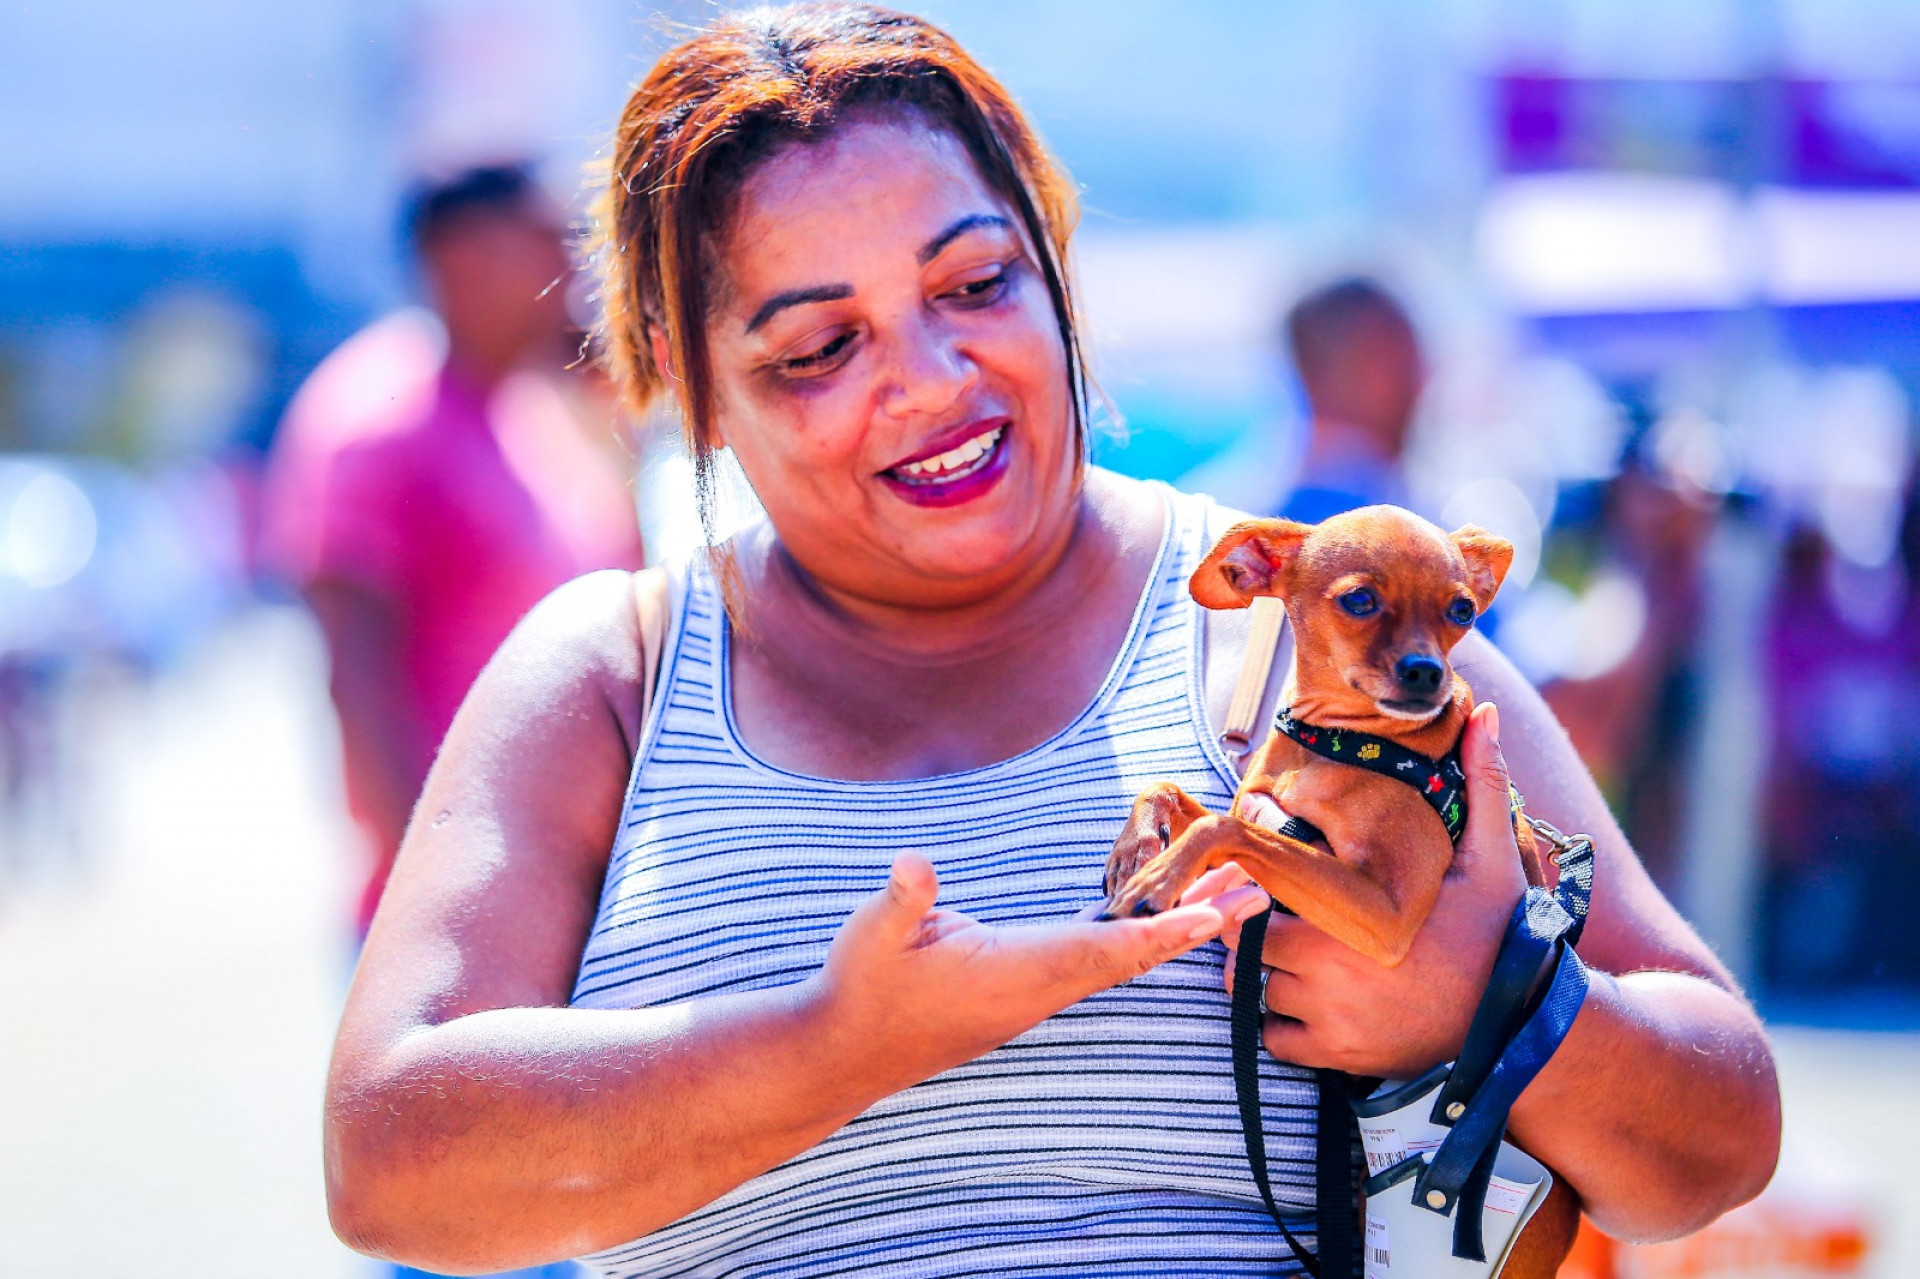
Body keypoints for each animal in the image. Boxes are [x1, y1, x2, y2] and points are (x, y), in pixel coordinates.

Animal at [1105, 506, 1566, 1275]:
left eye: (1461, 611)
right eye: (1359, 600)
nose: (1428, 671)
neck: (1339, 745)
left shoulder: (1384, 912)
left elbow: (1223, 831)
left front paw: (1158, 877)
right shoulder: (1266, 823)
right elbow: (1172, 790)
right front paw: (1138, 849)